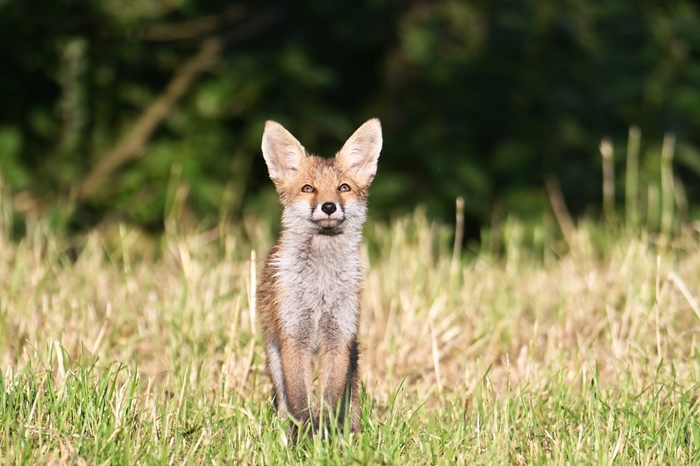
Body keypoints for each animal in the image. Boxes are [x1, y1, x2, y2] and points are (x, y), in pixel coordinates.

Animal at [257, 118, 382, 435]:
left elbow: (330, 402)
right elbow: (301, 403)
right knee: (283, 401)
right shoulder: (294, 339)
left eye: (343, 188)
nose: (328, 206)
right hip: (274, 356)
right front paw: (304, 440)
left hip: (352, 355)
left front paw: (327, 438)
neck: (320, 288)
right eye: (308, 188)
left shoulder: (338, 338)